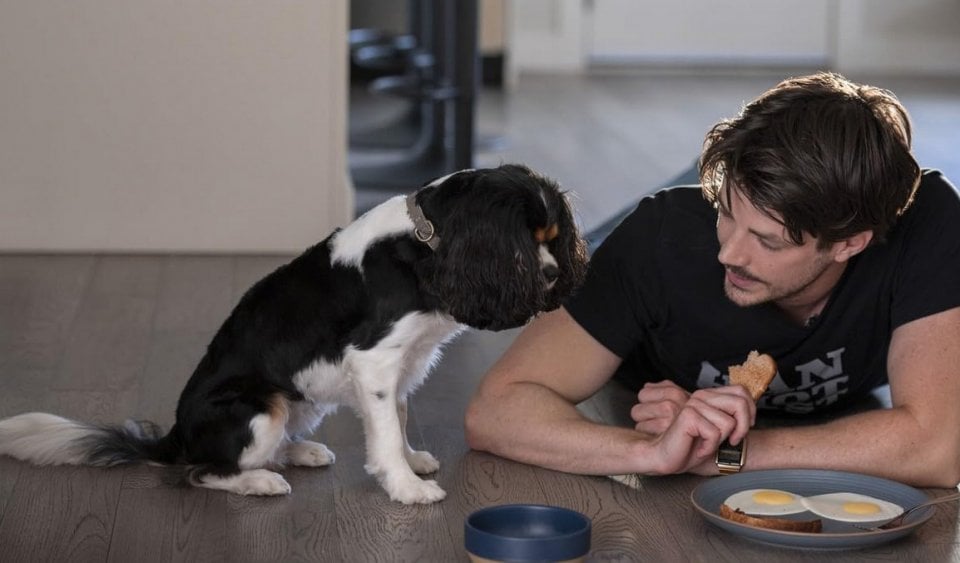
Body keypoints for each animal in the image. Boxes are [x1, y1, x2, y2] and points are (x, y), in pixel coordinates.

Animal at [0, 165, 584, 504]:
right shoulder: (375, 359)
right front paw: (406, 487)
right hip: (259, 409)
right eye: (525, 245)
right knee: (204, 472)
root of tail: (176, 435)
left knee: (269, 447)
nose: (554, 273)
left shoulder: (400, 365)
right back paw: (258, 481)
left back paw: (300, 452)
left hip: (303, 402)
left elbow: (395, 418)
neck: (425, 243)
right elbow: (385, 431)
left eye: (553, 239)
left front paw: (411, 460)